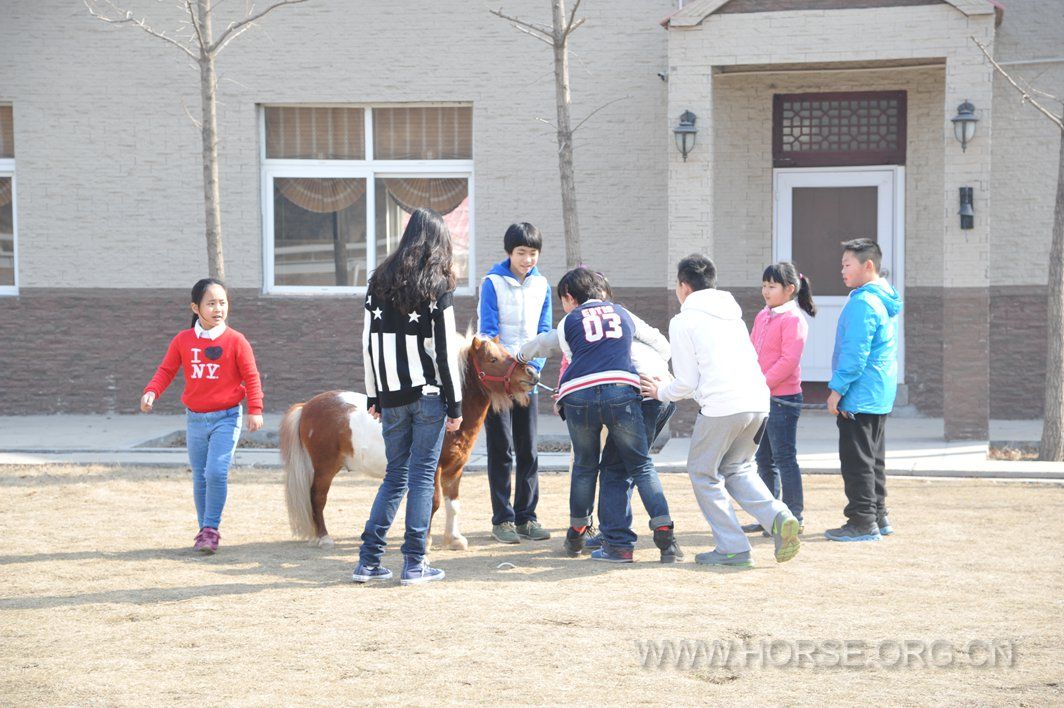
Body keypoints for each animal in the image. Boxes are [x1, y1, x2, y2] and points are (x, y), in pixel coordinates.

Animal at [280, 334, 536, 549]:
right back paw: (324, 538)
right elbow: (433, 502)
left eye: (507, 352)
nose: (531, 374)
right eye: (493, 359)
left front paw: (455, 540)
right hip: (325, 467)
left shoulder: (455, 470)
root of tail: (307, 406)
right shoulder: (434, 468)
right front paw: (426, 541)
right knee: (317, 497)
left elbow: (453, 505)